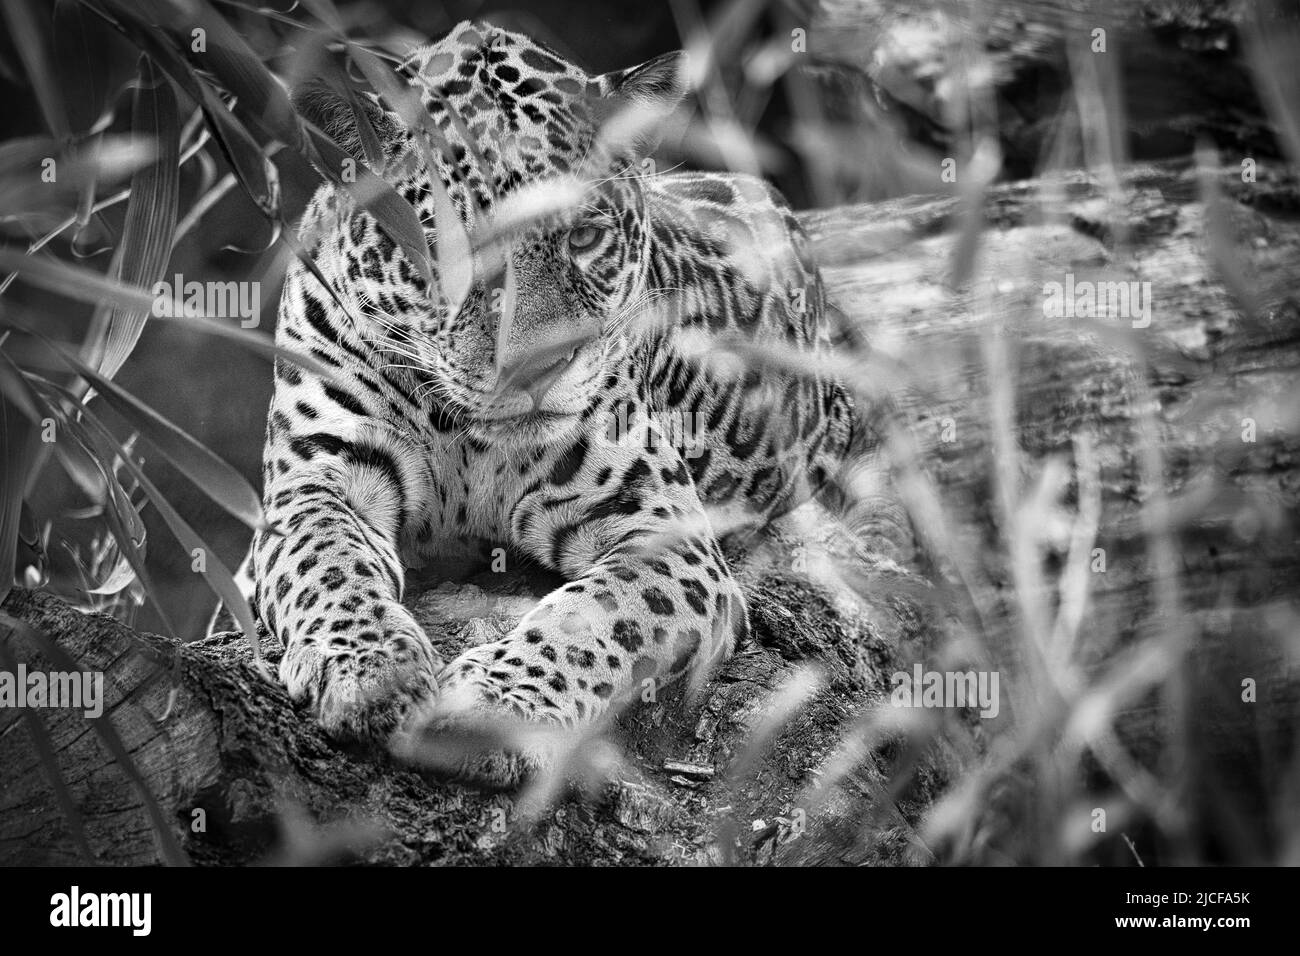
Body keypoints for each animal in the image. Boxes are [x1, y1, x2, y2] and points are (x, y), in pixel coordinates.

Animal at [224, 19, 860, 787]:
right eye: (442, 248)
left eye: (584, 236)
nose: (536, 368)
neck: (464, 434)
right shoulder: (315, 482)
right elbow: (328, 560)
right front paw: (372, 670)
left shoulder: (665, 536)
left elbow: (594, 614)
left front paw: (494, 710)